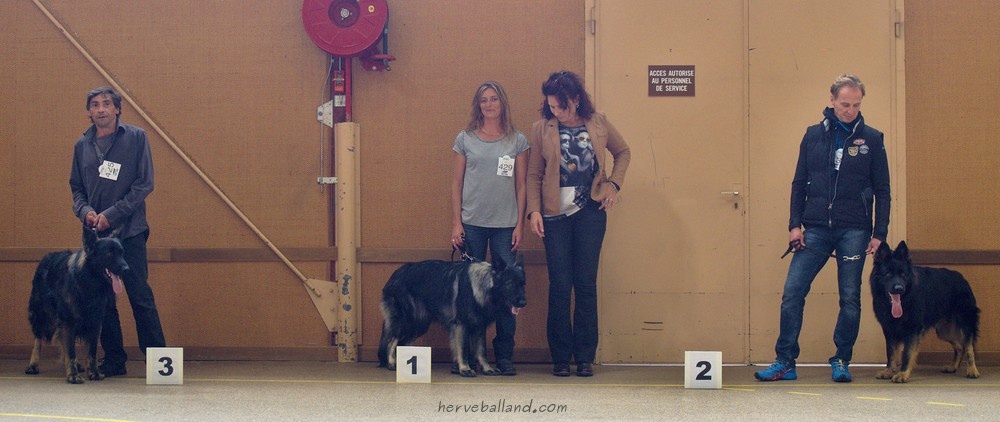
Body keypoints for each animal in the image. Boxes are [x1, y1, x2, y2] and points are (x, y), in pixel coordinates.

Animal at [25, 228, 128, 384]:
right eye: (109, 253)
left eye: (121, 252)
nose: (127, 269)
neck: (88, 283)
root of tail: (48, 256)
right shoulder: (68, 322)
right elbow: (71, 351)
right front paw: (73, 375)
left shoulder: (95, 323)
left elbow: (91, 352)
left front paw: (94, 373)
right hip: (41, 315)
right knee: (38, 339)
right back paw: (33, 364)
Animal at [377, 255, 526, 377]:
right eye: (509, 284)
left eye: (522, 284)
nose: (523, 303)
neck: (481, 287)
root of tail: (396, 273)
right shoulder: (461, 325)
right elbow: (463, 349)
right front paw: (465, 369)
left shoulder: (479, 327)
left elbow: (481, 350)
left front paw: (487, 368)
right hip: (408, 320)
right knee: (392, 341)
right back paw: (392, 363)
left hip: (419, 324)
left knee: (404, 342)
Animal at [869, 240, 980, 383]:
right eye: (888, 274)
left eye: (903, 275)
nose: (899, 288)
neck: (904, 301)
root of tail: (962, 278)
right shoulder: (889, 330)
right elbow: (891, 353)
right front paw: (888, 371)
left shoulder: (912, 330)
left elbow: (907, 354)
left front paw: (902, 374)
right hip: (944, 331)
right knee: (960, 347)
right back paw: (953, 367)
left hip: (964, 324)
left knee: (968, 346)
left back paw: (972, 370)